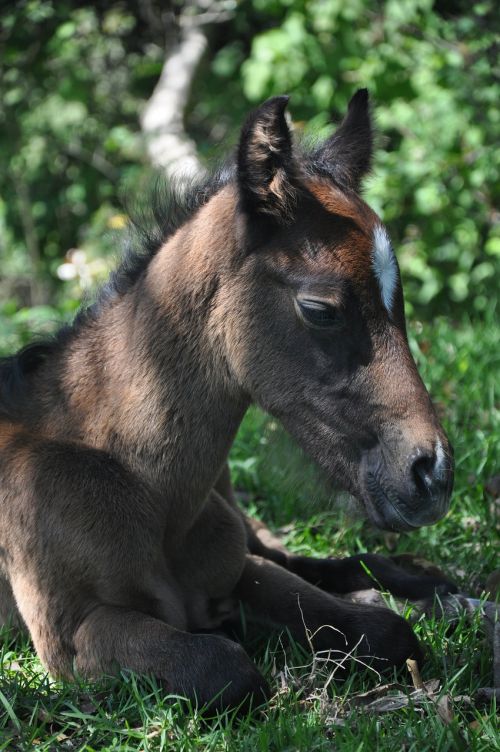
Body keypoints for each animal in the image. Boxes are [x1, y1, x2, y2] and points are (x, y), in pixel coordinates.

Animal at [0, 91, 456, 708]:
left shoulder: (240, 567)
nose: (431, 474)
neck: (144, 485)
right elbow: (227, 669)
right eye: (320, 309)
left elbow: (388, 631)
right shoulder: (72, 636)